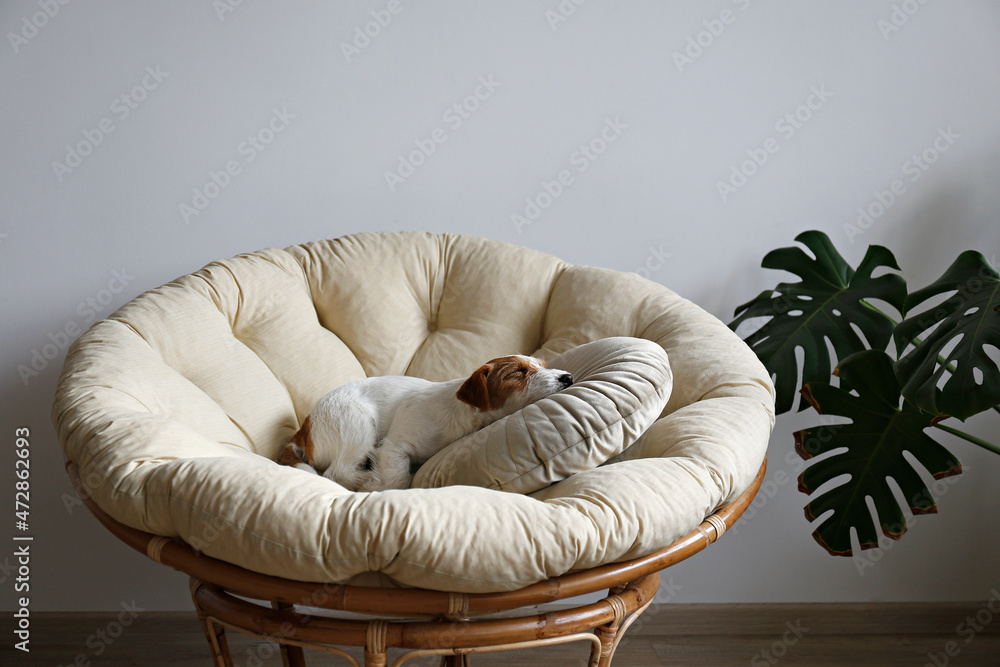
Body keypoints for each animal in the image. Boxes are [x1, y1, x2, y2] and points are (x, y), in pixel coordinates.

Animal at [282, 358, 576, 494]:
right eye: (519, 372)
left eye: (543, 365)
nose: (568, 377)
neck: (460, 413)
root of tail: (304, 428)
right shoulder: (395, 446)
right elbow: (399, 478)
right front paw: (378, 484)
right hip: (358, 425)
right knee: (337, 473)